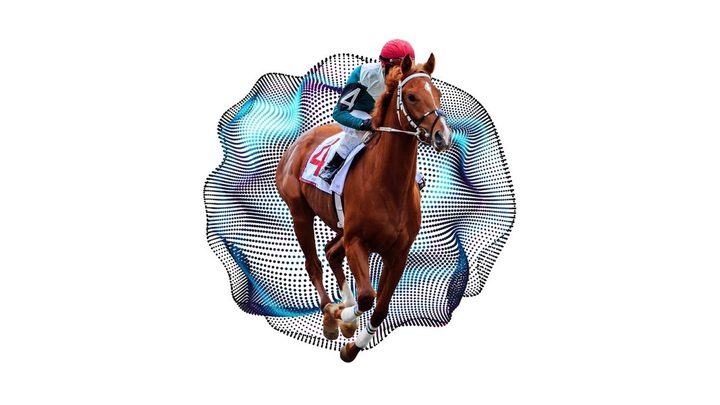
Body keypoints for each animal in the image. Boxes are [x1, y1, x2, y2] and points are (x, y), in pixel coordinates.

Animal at [275, 53, 452, 362]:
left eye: (438, 93)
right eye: (411, 96)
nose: (443, 136)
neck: (388, 184)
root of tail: (296, 144)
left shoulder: (398, 253)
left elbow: (380, 308)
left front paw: (352, 345)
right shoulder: (358, 241)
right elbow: (367, 296)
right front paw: (343, 318)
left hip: (338, 224)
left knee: (331, 252)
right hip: (300, 214)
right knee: (314, 263)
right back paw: (330, 313)